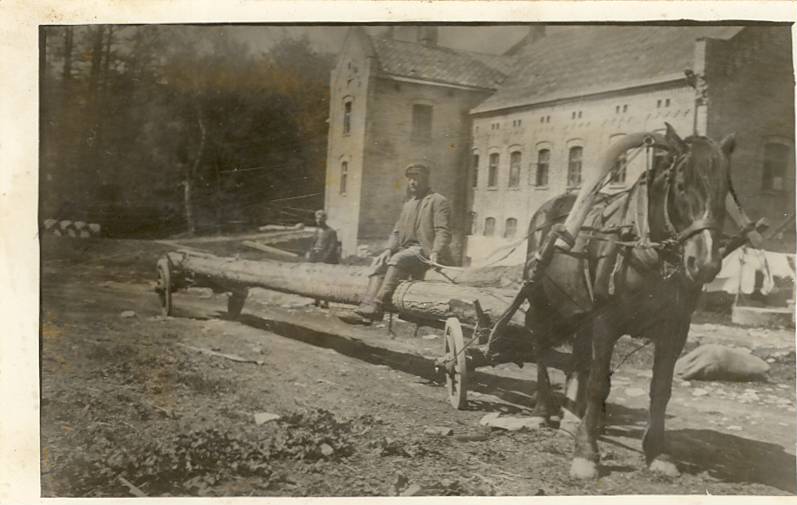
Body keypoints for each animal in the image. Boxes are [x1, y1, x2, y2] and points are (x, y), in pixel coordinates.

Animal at [524, 122, 736, 476]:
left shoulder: (676, 328)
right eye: (681, 186)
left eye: (724, 191)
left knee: (576, 360)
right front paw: (586, 452)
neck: (646, 249)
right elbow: (597, 382)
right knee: (540, 346)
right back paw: (544, 409)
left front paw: (657, 452)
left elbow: (661, 388)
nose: (705, 263)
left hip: (582, 313)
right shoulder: (605, 321)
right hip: (542, 301)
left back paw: (571, 418)